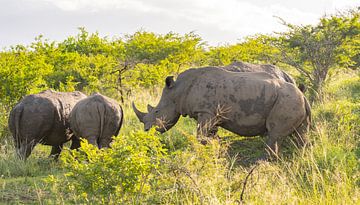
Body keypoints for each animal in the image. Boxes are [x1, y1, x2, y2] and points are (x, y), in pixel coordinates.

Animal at [134, 66, 310, 156]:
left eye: (157, 112)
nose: (146, 130)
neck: (178, 90)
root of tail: (303, 95)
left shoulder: (206, 112)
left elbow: (201, 136)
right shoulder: (210, 114)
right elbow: (210, 135)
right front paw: (214, 151)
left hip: (287, 100)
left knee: (274, 135)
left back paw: (266, 161)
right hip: (294, 101)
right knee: (301, 135)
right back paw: (301, 156)